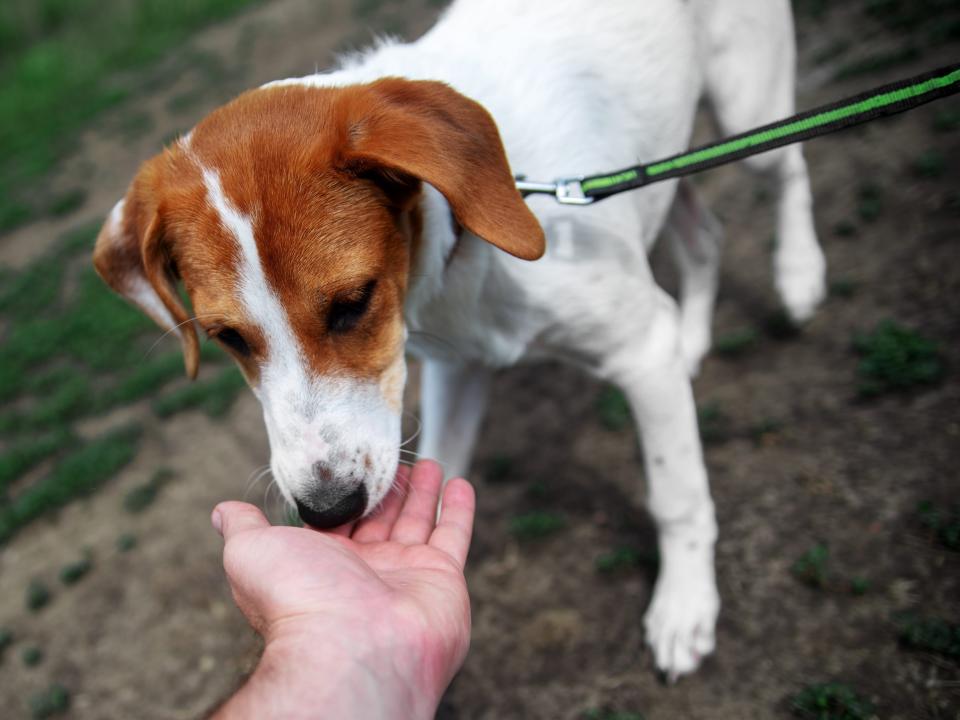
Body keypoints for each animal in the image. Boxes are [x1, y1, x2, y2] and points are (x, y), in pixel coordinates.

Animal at [92, 0, 824, 680]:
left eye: (353, 303)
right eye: (227, 338)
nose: (328, 511)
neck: (467, 239)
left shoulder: (637, 351)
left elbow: (676, 495)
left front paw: (684, 605)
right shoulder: (457, 369)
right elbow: (442, 468)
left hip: (748, 105)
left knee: (788, 171)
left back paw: (799, 274)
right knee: (702, 237)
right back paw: (695, 334)